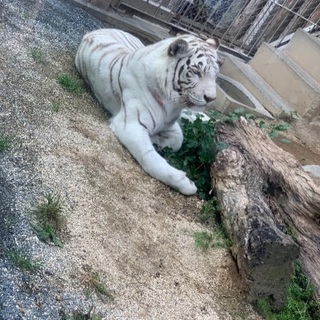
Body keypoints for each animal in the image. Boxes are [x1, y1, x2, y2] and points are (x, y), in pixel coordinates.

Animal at [75, 29, 220, 195]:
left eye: (216, 74)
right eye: (196, 72)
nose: (211, 98)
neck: (173, 104)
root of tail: (96, 30)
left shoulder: (171, 125)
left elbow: (178, 140)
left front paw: (155, 139)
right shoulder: (129, 126)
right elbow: (150, 157)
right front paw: (185, 183)